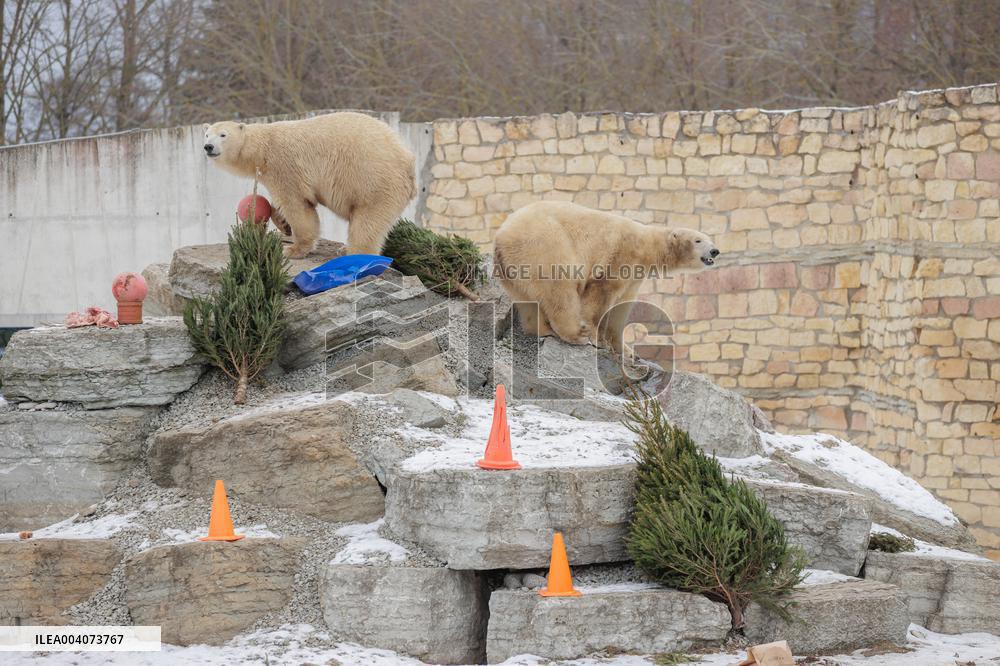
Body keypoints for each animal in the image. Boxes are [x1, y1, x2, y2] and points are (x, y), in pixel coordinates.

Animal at [203, 112, 415, 258]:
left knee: (367, 222)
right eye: (206, 134)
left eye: (223, 135)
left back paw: (354, 253)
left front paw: (293, 249)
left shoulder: (283, 165)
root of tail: (408, 162)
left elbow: (296, 204)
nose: (208, 147)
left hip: (374, 182)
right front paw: (284, 225)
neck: (262, 149)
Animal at [494, 201, 719, 351]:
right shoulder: (621, 256)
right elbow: (600, 294)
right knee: (560, 290)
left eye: (710, 239)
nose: (715, 251)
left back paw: (542, 329)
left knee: (527, 301)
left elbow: (621, 308)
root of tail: (501, 237)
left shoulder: (635, 276)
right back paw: (577, 335)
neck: (647, 246)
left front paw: (625, 351)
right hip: (544, 245)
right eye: (698, 240)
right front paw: (597, 339)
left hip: (514, 269)